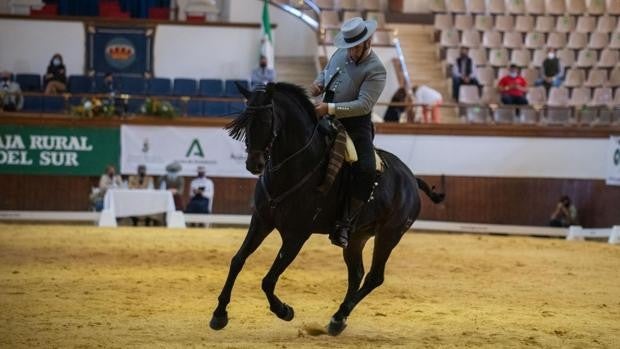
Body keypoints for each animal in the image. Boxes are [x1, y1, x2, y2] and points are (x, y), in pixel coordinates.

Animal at [211, 81, 444, 334]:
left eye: (265, 121)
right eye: (245, 122)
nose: (254, 164)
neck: (296, 165)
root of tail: (411, 179)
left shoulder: (296, 235)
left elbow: (269, 279)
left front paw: (284, 310)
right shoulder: (261, 221)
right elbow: (238, 260)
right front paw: (219, 313)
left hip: (389, 235)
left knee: (374, 277)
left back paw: (339, 316)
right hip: (356, 237)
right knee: (357, 274)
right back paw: (338, 320)